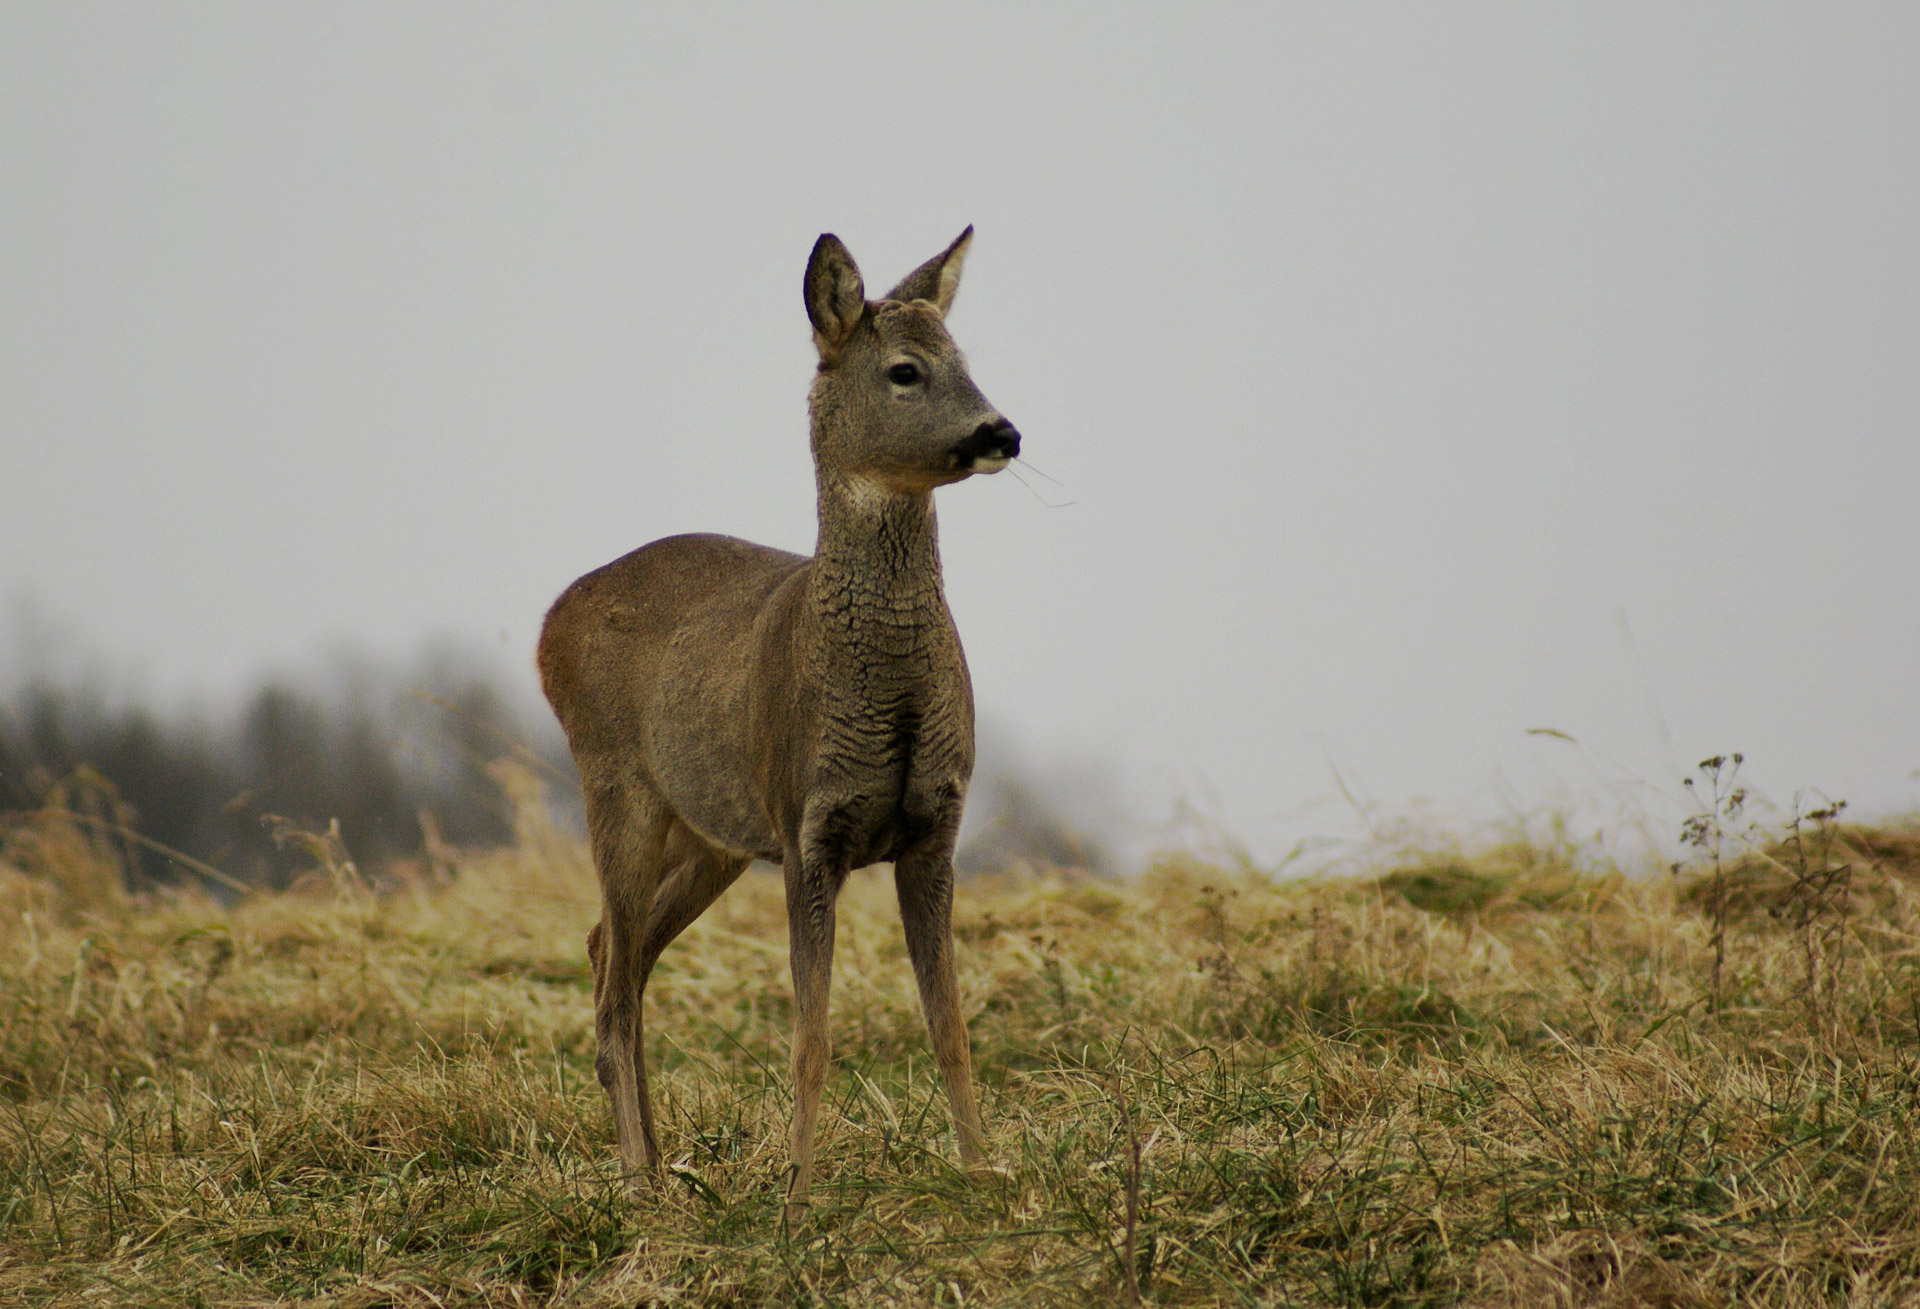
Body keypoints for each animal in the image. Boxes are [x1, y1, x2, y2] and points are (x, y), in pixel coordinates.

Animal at [537, 224, 1021, 1213]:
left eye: (967, 359)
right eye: (906, 370)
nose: (1004, 430)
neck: (888, 691)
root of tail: (548, 624)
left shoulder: (936, 825)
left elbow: (950, 1024)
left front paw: (985, 1170)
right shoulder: (809, 824)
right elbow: (811, 1034)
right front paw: (798, 1197)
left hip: (714, 833)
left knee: (613, 949)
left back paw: (662, 1163)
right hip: (614, 782)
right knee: (615, 977)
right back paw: (640, 1181)